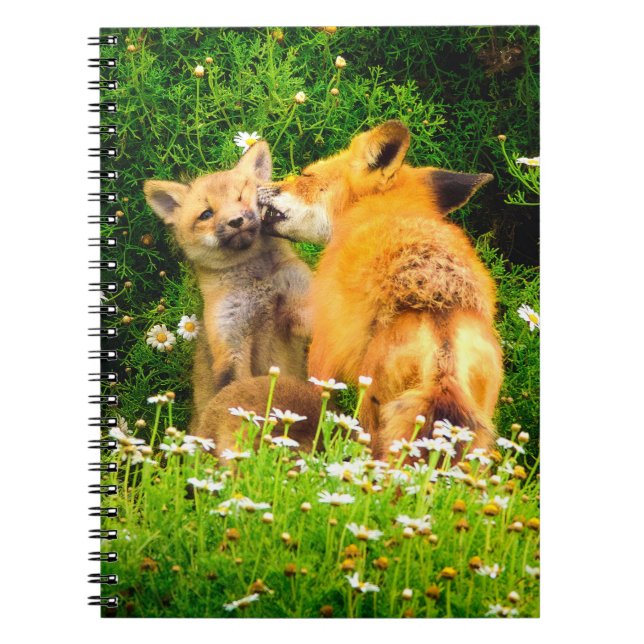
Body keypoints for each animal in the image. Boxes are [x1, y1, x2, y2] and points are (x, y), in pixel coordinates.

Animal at [144, 142, 312, 431]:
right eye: (206, 214)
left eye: (242, 197)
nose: (236, 221)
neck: (258, 286)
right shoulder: (230, 343)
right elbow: (237, 393)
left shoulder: (301, 304)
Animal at [258, 121, 503, 458]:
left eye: (306, 176)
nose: (255, 187)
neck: (381, 210)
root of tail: (444, 353)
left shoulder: (323, 349)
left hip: (372, 414)